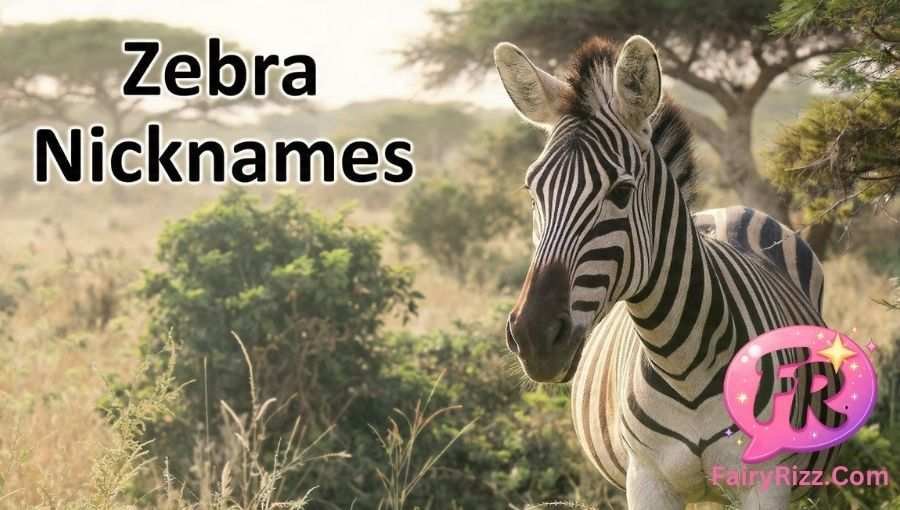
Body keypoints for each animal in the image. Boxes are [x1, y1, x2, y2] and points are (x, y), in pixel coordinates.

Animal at [496, 35, 833, 509]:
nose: (534, 337)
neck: (683, 362)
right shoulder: (647, 478)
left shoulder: (768, 483)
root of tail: (730, 210)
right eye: (532, 190)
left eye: (621, 192)